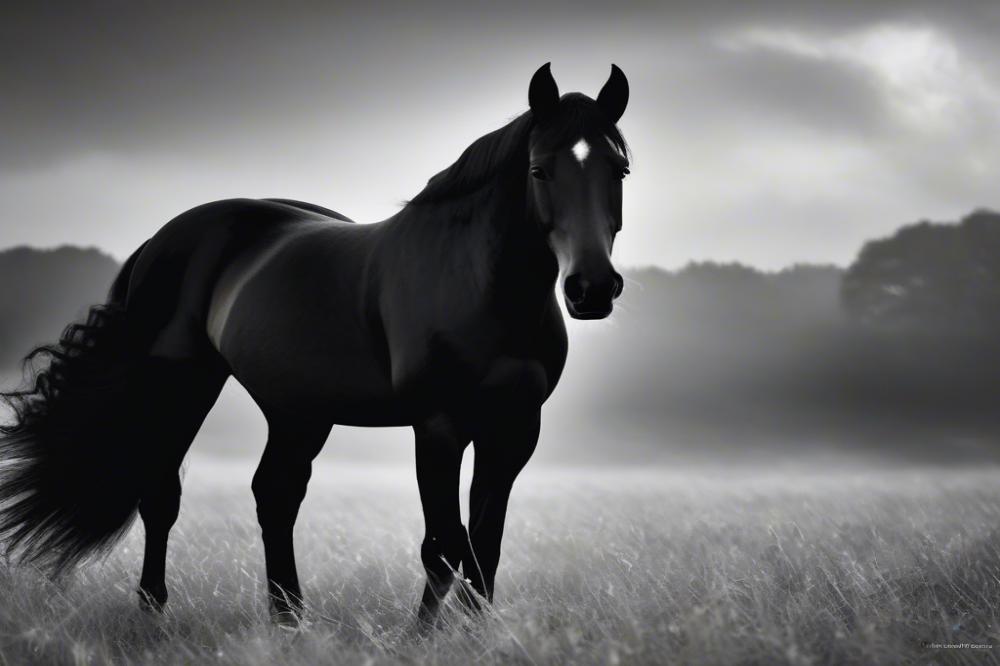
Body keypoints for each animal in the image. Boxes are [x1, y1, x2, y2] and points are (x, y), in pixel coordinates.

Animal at [0, 63, 630, 625]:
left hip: (298, 409)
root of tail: (164, 237)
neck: (478, 286)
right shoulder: (439, 426)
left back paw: (290, 619)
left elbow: (484, 551)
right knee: (162, 498)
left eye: (619, 169)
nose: (592, 289)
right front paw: (422, 639)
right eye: (540, 170)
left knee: (275, 495)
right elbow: (445, 546)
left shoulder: (513, 430)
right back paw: (154, 613)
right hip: (184, 387)